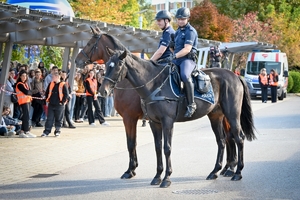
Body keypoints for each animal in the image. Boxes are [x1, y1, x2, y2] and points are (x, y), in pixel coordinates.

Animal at [99, 49, 255, 188]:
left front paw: (166, 178)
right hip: (216, 117)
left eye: (118, 65)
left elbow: (166, 148)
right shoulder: (154, 123)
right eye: (106, 65)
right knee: (222, 141)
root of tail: (235, 75)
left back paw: (237, 172)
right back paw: (216, 171)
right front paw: (157, 176)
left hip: (232, 115)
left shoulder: (164, 121)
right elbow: (157, 148)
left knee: (238, 138)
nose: (102, 91)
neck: (153, 84)